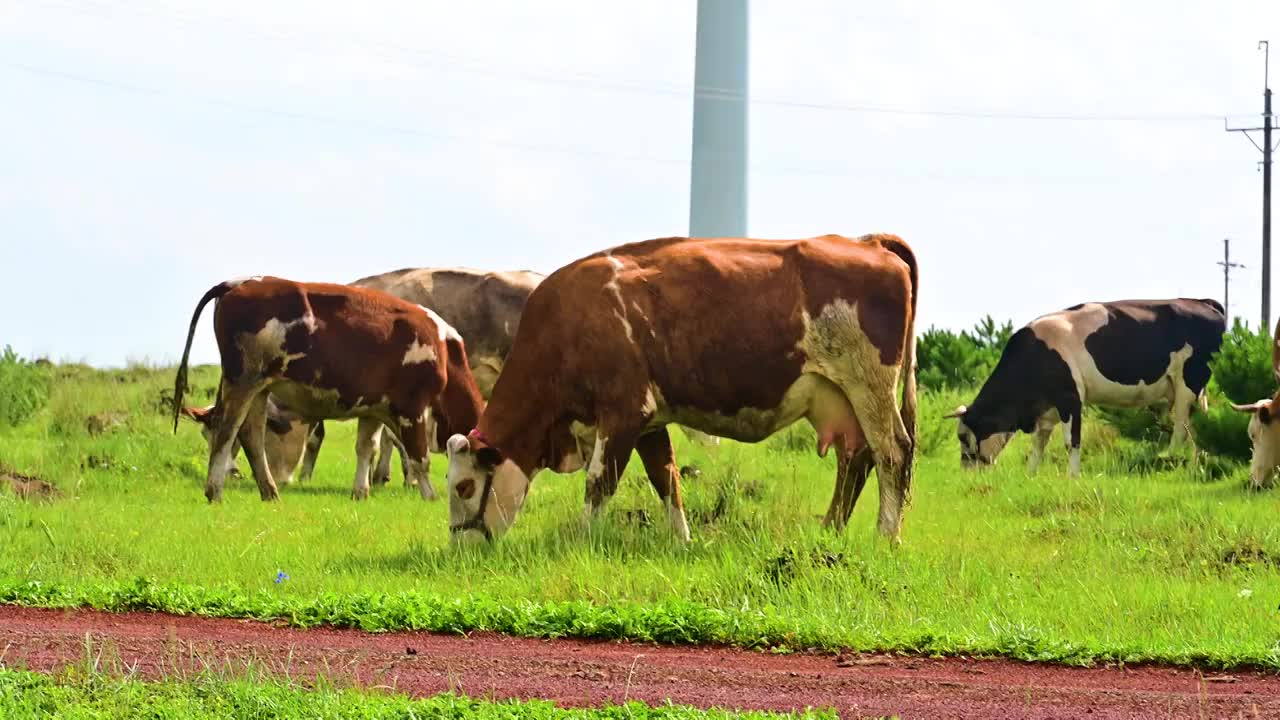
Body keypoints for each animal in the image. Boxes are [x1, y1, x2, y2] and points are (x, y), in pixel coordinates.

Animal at [172, 274, 481, 499]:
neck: (445, 350)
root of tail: (238, 282)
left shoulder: (374, 408)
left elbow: (366, 447)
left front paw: (361, 492)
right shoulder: (411, 408)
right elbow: (419, 457)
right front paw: (430, 496)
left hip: (260, 387)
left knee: (251, 435)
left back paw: (270, 493)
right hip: (243, 381)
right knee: (227, 429)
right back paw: (215, 491)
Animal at [445, 235, 916, 543]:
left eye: (464, 487)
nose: (459, 548)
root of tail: (867, 242)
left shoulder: (623, 413)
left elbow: (600, 481)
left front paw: (579, 540)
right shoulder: (648, 422)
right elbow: (665, 477)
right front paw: (682, 541)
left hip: (869, 387)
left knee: (892, 454)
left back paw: (884, 538)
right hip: (839, 397)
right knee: (855, 460)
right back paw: (830, 532)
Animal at [947, 294, 1223, 474]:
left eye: (963, 436)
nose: (966, 472)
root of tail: (1201, 301)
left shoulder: (1070, 398)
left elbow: (1072, 442)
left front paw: (1072, 477)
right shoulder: (1046, 409)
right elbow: (1038, 445)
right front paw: (1031, 475)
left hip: (1189, 380)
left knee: (1181, 425)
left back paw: (1172, 457)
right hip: (1190, 388)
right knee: (1198, 423)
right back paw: (1199, 459)